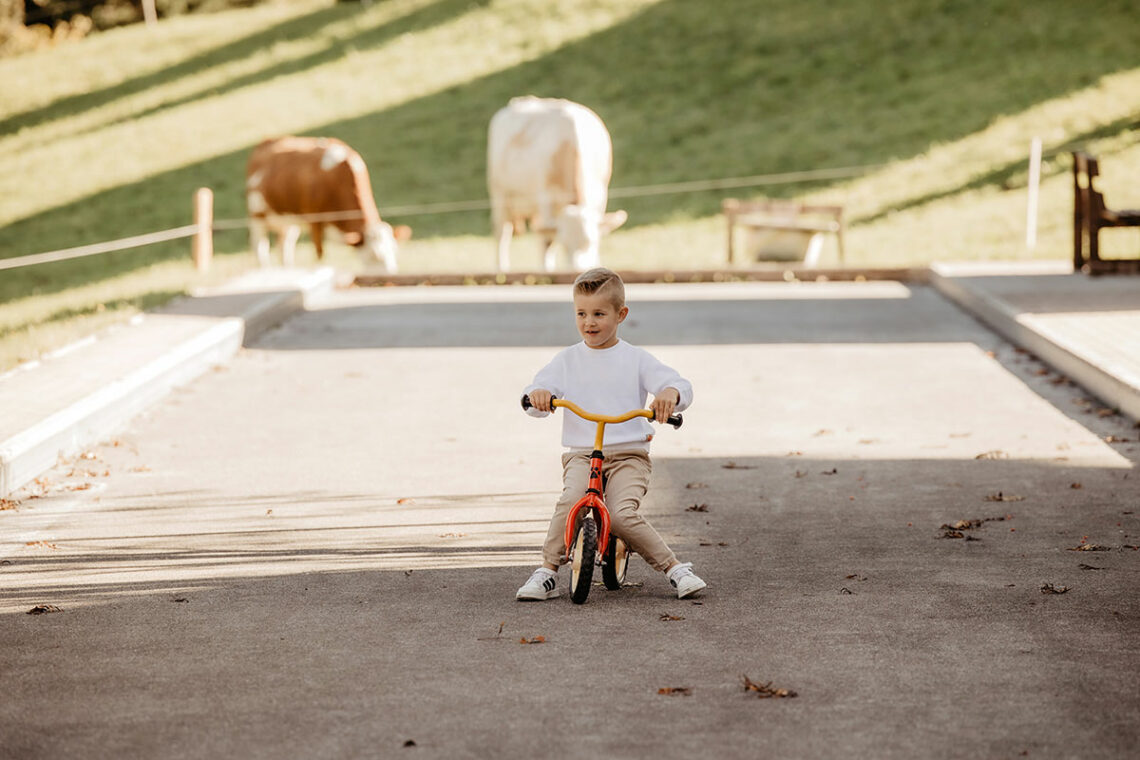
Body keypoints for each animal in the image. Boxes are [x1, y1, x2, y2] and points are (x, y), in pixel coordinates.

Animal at [245, 136, 410, 273]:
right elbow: (319, 255)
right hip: (257, 217)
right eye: (374, 256)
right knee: (260, 249)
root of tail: (266, 141)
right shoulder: (315, 221)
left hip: (288, 221)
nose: (390, 277)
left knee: (284, 248)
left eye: (395, 252)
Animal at [481, 96, 624, 272]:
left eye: (590, 242)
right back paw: (502, 268)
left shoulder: (600, 195)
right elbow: (548, 241)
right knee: (503, 231)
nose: (577, 269)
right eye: (565, 245)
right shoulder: (545, 197)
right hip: (500, 194)